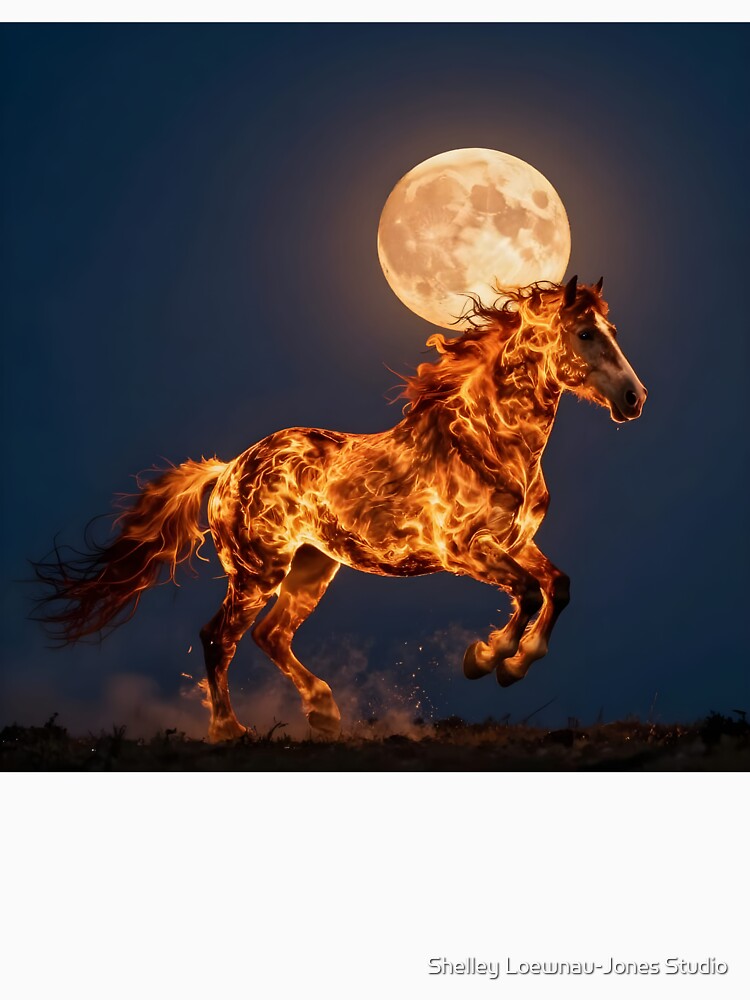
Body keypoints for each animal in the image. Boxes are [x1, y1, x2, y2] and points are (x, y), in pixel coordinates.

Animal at [35, 276, 647, 742]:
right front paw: (485, 658)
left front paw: (515, 666)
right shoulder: (462, 551)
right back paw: (230, 731)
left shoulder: (517, 542)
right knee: (217, 638)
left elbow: (557, 586)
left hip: (312, 568)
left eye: (613, 332)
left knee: (270, 636)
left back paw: (324, 712)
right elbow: (525, 592)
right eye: (586, 333)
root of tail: (229, 468)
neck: (489, 444)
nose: (634, 399)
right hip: (258, 572)